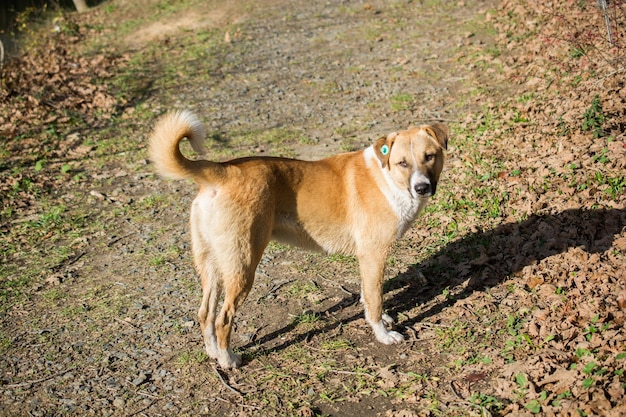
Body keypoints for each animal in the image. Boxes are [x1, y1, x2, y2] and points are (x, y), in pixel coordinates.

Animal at [149, 110, 446, 368]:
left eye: (429, 156)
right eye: (402, 163)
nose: (422, 188)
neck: (387, 178)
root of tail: (221, 170)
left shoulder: (367, 260)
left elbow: (367, 295)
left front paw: (382, 319)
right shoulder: (375, 255)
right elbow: (374, 299)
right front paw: (383, 334)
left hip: (212, 265)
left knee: (205, 313)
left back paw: (212, 352)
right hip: (243, 266)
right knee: (223, 317)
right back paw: (228, 359)